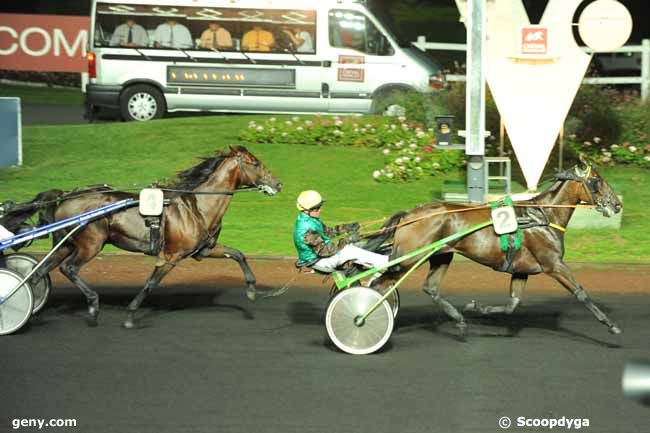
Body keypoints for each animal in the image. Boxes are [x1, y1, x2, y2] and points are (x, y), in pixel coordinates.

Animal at [28, 145, 280, 328]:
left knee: (40, 272)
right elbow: (151, 283)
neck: (198, 206)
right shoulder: (170, 256)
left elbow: (238, 254)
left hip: (66, 244)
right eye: (256, 163)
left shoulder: (204, 250)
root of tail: (67, 196)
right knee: (68, 268)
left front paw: (251, 289)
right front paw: (130, 316)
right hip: (91, 244)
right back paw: (92, 304)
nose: (278, 183)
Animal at [368, 158, 620, 338]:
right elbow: (581, 293)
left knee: (430, 288)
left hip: (441, 256)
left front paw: (477, 308)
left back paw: (459, 320)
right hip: (408, 259)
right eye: (597, 180)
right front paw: (611, 325)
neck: (542, 216)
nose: (617, 204)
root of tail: (409, 215)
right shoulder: (554, 264)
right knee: (379, 286)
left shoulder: (522, 270)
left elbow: (512, 305)